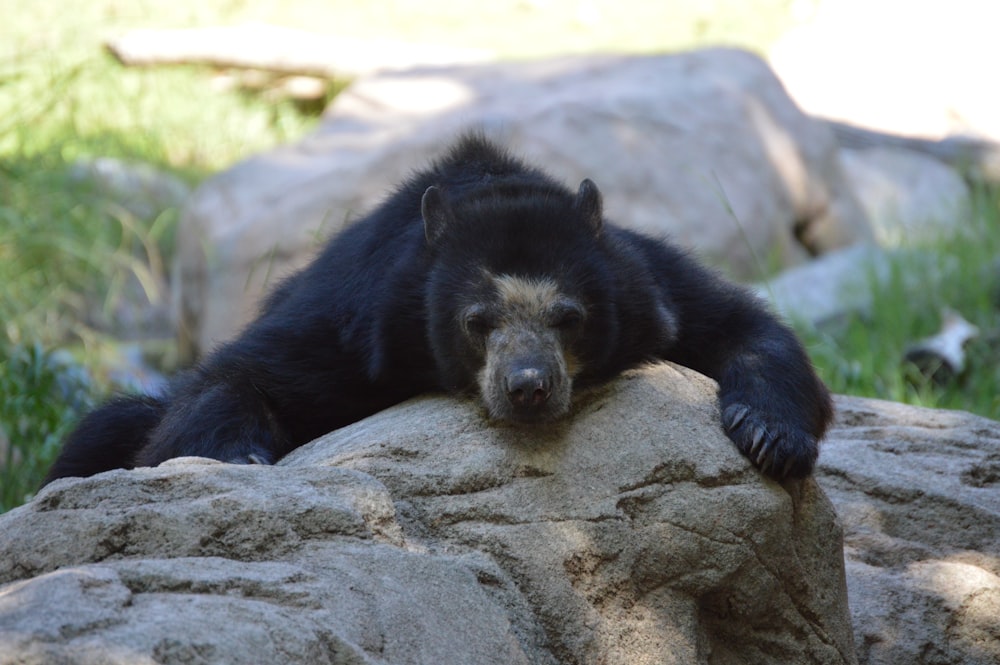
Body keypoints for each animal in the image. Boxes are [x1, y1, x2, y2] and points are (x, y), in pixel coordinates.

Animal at [43, 132, 832, 486]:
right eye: (476, 322)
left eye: (569, 316)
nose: (528, 387)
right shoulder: (356, 321)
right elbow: (239, 377)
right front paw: (240, 455)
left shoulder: (644, 281)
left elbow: (738, 325)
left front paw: (771, 436)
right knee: (106, 429)